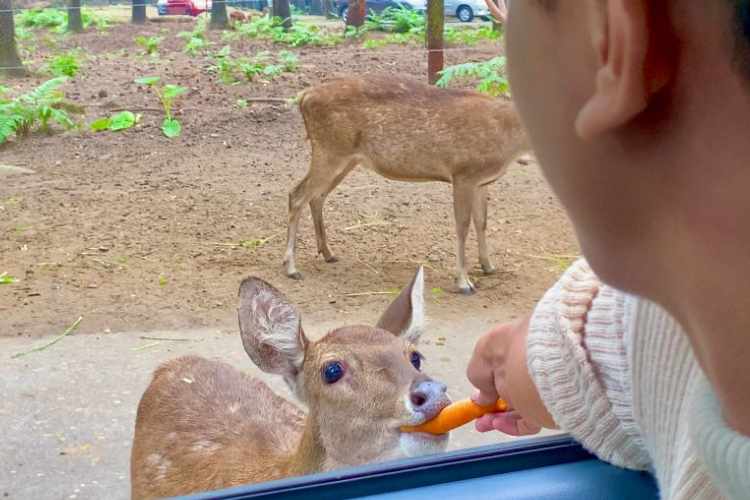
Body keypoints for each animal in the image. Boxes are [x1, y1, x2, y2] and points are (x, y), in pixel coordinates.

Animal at [284, 74, 528, 292]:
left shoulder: (482, 181)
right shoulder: (463, 174)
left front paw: (488, 266)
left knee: (317, 196)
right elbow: (462, 226)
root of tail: (304, 97)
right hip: (329, 150)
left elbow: (482, 221)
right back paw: (291, 268)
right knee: (297, 194)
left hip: (346, 159)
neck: (508, 142)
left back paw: (328, 253)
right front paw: (464, 282)